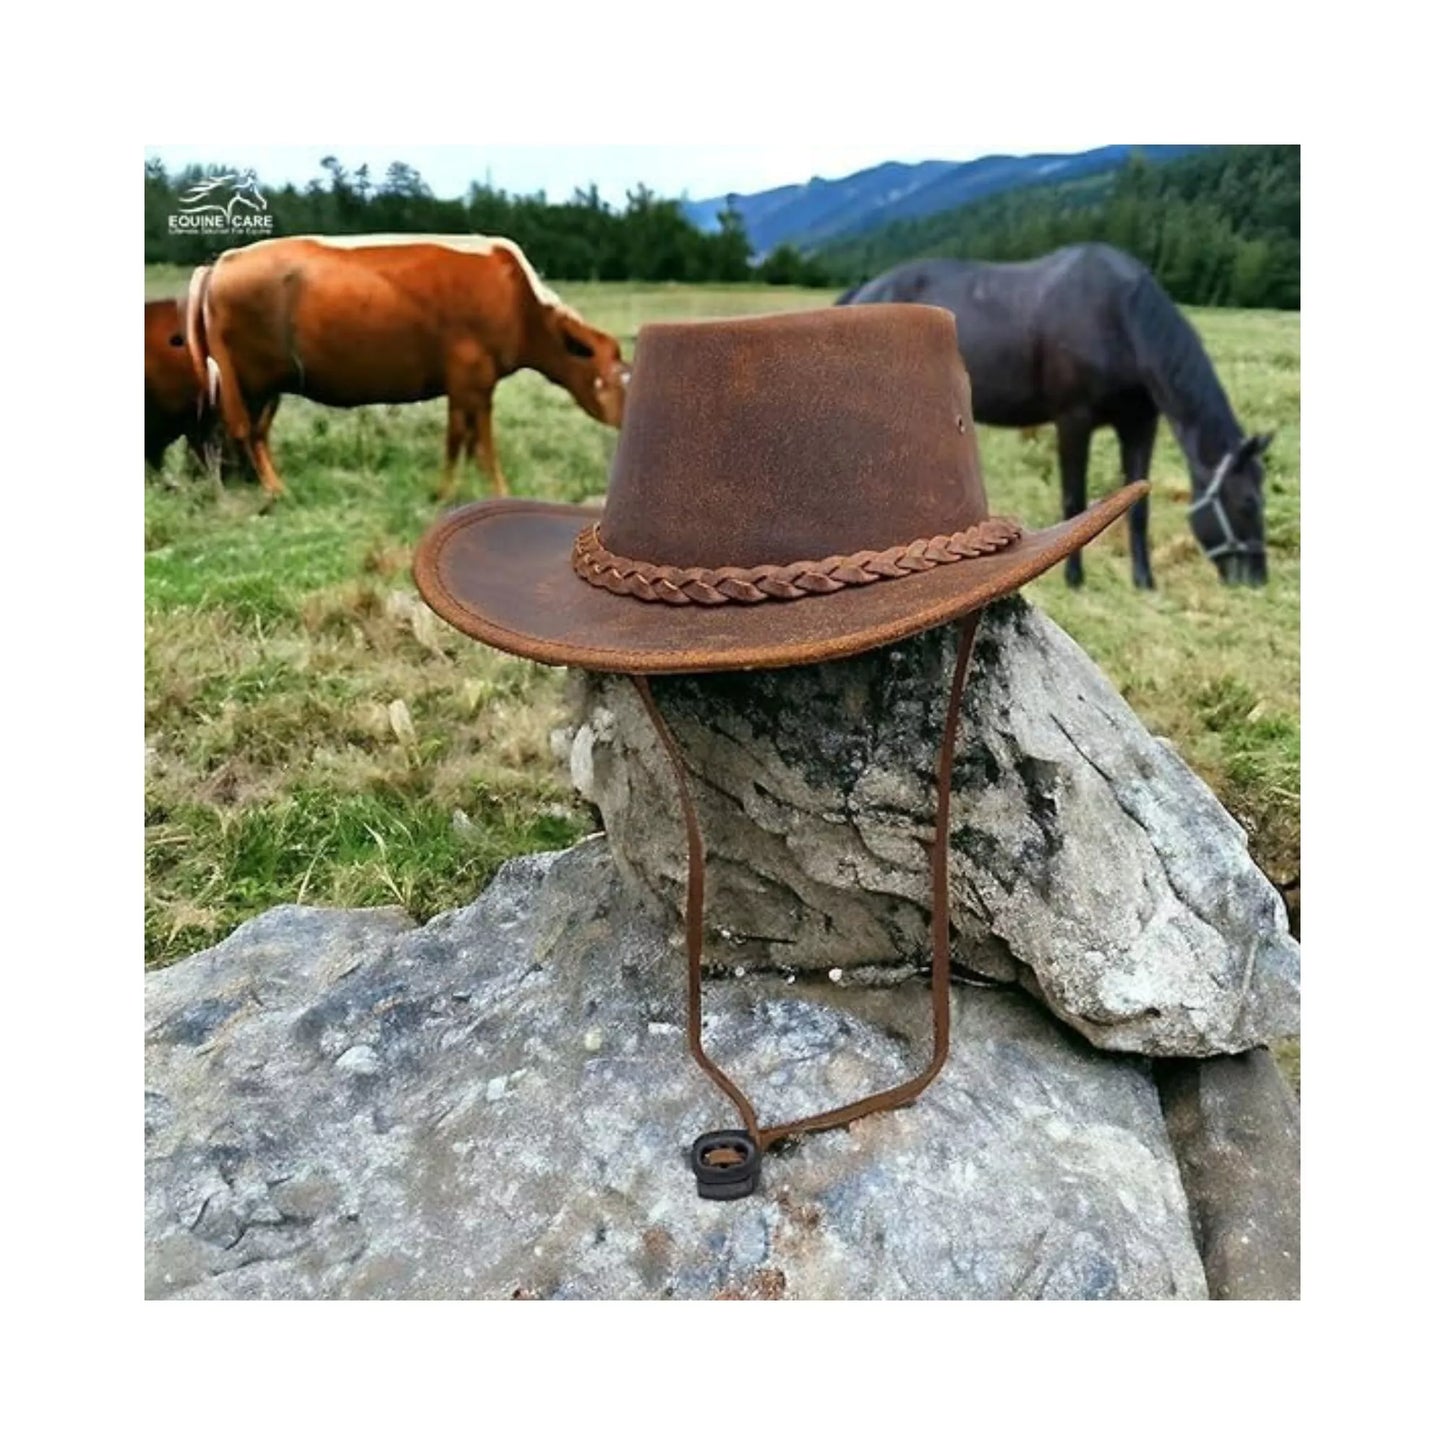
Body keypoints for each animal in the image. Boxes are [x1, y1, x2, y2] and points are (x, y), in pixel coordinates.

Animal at [185, 235, 630, 498]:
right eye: (613, 380)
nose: (627, 425)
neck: (521, 304)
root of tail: (222, 262)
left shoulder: (473, 384)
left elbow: (470, 440)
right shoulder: (471, 376)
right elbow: (469, 440)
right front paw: (468, 493)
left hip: (269, 384)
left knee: (243, 434)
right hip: (243, 379)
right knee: (235, 431)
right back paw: (269, 490)